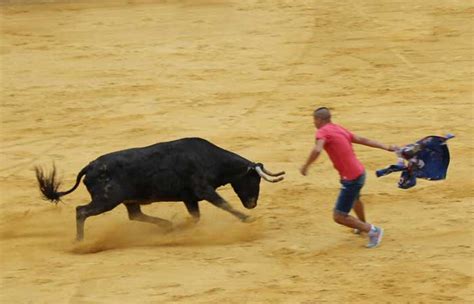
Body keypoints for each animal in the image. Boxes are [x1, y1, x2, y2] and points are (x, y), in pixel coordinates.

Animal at [35, 138, 286, 240]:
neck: (210, 159)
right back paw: (79, 241)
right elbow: (223, 204)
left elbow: (195, 217)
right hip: (106, 200)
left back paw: (167, 226)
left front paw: (183, 227)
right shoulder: (203, 191)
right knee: (82, 211)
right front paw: (248, 219)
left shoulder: (189, 197)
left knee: (135, 215)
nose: (251, 204)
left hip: (128, 200)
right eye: (254, 180)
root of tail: (90, 166)